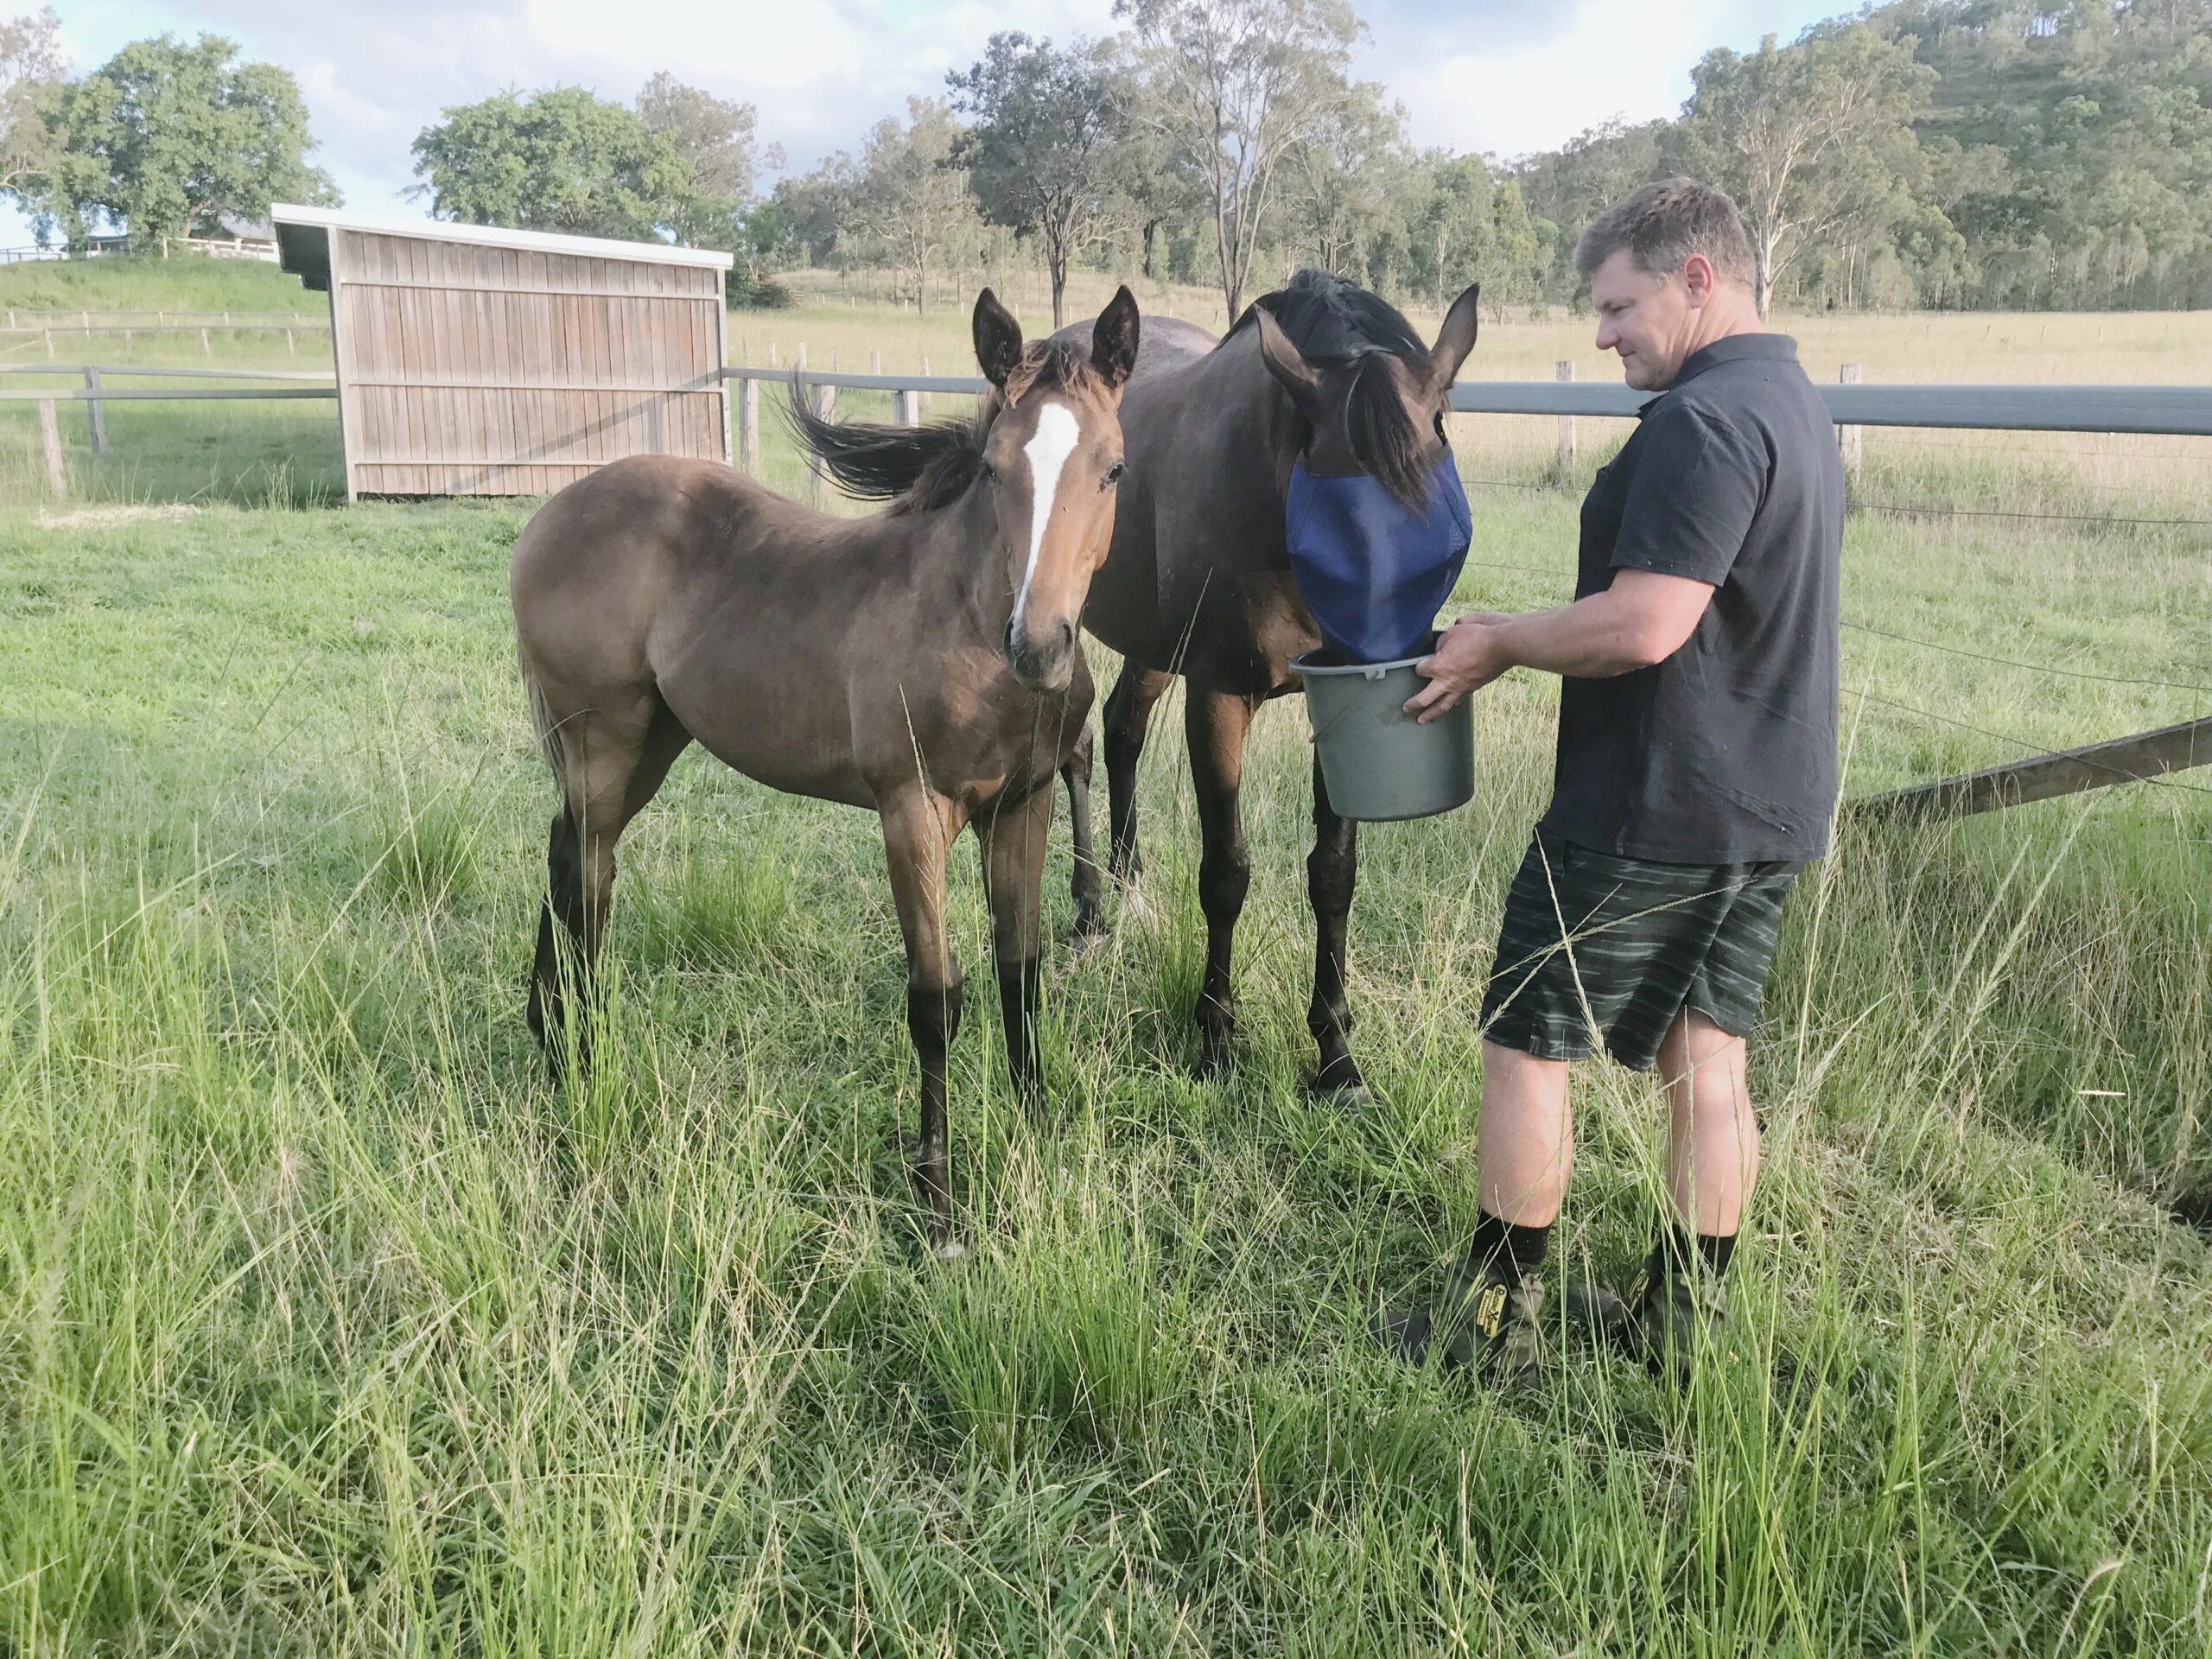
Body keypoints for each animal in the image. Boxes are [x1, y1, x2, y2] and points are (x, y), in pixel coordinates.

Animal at [512, 289, 1141, 1247]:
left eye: (1111, 470)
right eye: (995, 470)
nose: (1038, 646)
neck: (964, 628)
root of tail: (550, 514)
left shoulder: (1022, 807)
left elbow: (1021, 973)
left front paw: (1037, 1135)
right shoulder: (911, 815)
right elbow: (936, 1001)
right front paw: (939, 1205)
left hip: (646, 743)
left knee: (575, 861)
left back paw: (555, 1041)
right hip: (601, 739)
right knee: (583, 873)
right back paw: (577, 1059)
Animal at [1044, 270, 1478, 1096]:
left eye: (1444, 528)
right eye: (1334, 516)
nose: (1383, 650)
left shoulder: (1330, 709)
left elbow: (1334, 873)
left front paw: (1336, 1055)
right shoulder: (1217, 697)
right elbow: (1226, 872)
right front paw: (1216, 1038)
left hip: (1153, 645)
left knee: (1120, 731)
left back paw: (1129, 889)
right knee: (1075, 747)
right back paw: (1087, 919)